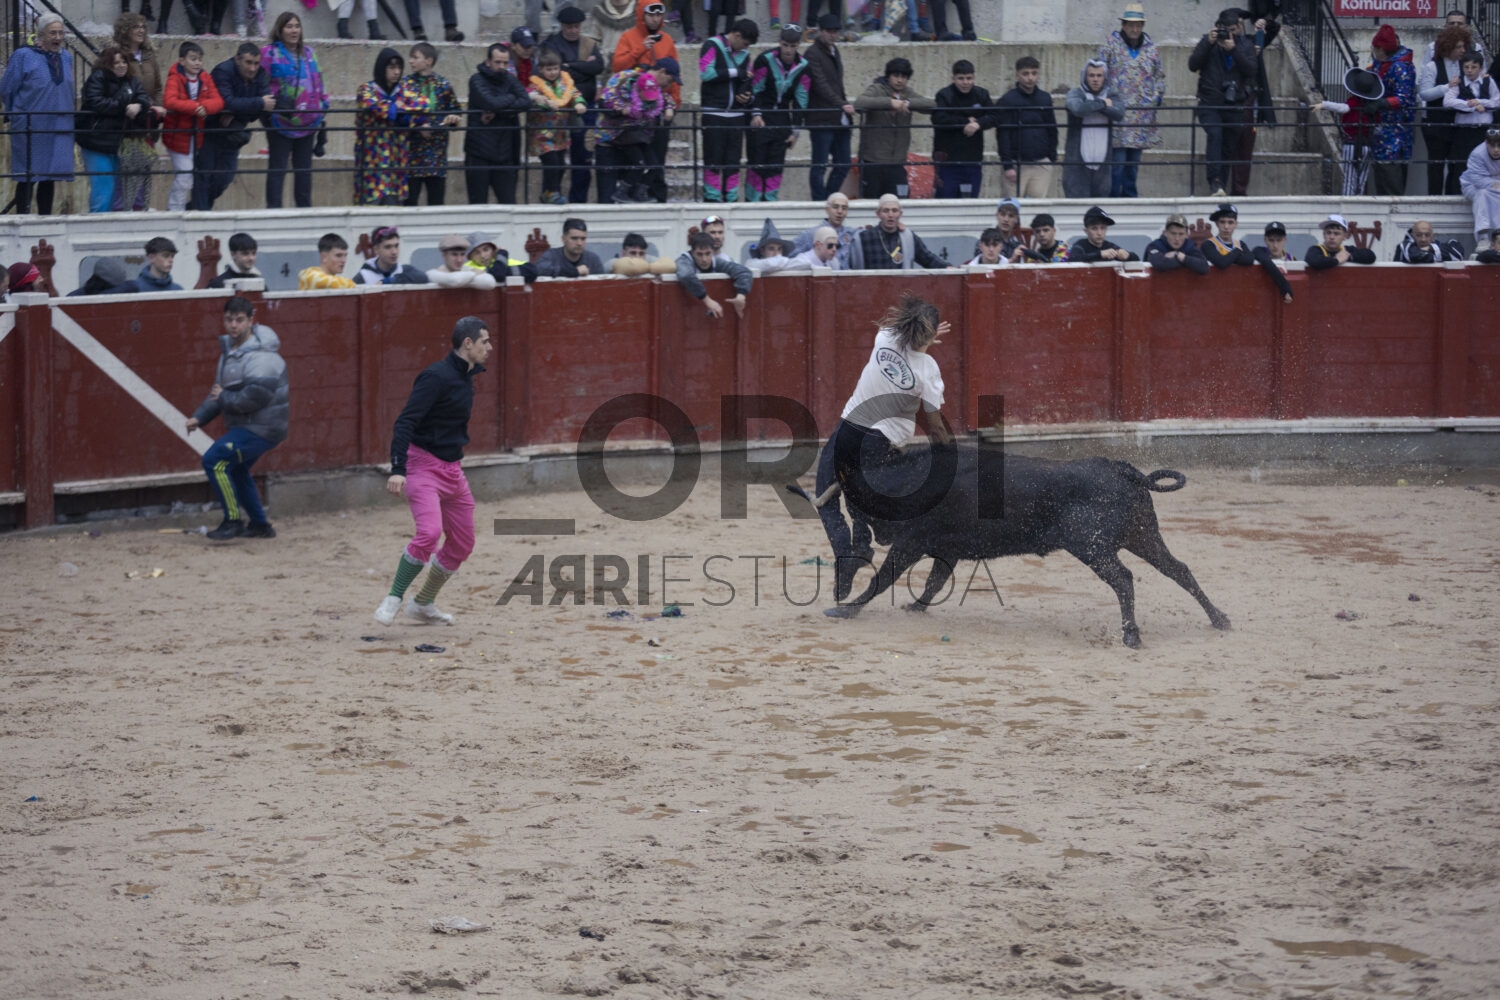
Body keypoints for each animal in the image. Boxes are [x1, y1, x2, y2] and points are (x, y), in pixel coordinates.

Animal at [788, 443, 1230, 648]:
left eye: (853, 506)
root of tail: (1121, 468)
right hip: (1143, 536)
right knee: (1179, 569)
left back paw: (1131, 635)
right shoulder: (946, 550)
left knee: (1124, 579)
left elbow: (882, 579)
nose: (876, 536)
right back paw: (1219, 618)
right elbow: (933, 582)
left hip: (1094, 547)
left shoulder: (912, 543)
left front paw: (845, 608)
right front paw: (916, 607)